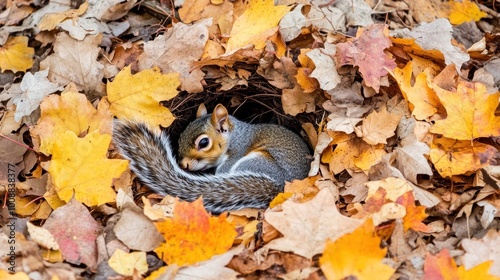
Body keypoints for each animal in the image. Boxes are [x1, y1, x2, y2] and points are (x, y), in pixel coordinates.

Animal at [111, 104, 310, 213]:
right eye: (181, 136)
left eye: (204, 142)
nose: (183, 164)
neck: (234, 136)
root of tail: (281, 187)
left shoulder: (237, 153)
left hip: (256, 162)